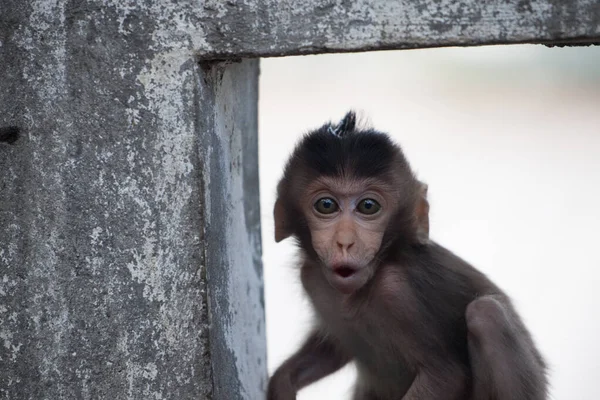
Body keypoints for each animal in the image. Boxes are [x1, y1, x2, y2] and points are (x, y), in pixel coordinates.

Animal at [270, 112, 548, 400]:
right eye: (326, 205)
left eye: (368, 206)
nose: (345, 242)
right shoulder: (311, 278)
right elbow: (332, 351)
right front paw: (282, 383)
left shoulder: (397, 291)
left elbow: (444, 375)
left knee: (487, 314)